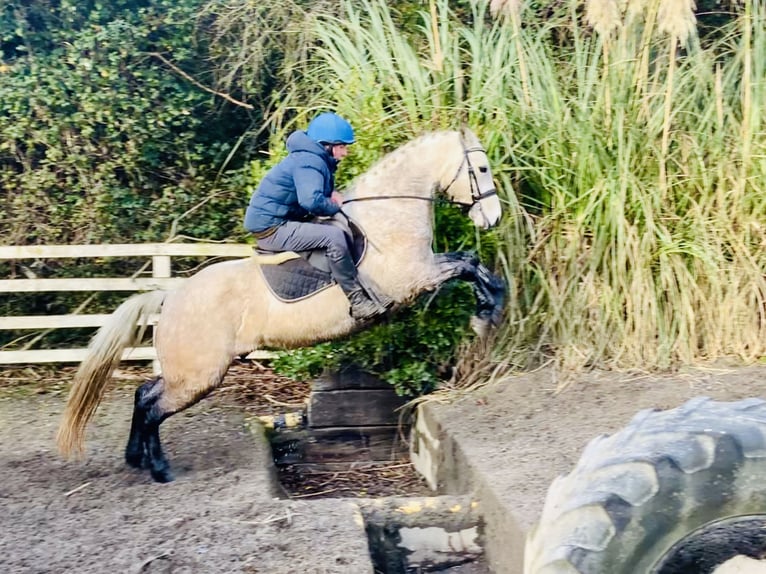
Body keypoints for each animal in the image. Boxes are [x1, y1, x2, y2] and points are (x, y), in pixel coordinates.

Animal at [57, 128, 508, 484]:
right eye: (483, 169)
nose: (494, 218)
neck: (387, 215)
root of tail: (172, 294)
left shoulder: (424, 270)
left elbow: (469, 262)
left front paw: (492, 304)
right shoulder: (414, 278)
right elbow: (465, 265)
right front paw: (487, 311)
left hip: (187, 372)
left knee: (144, 394)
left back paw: (135, 458)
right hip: (200, 376)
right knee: (153, 409)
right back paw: (160, 469)